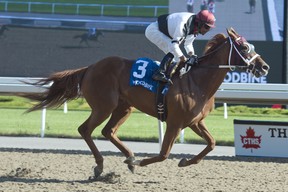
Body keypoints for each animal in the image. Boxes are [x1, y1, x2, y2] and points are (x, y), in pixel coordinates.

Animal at [20, 27, 270, 178]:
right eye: (245, 48)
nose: (264, 67)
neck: (198, 81)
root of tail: (90, 68)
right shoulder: (175, 122)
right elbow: (164, 153)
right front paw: (141, 163)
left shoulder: (194, 122)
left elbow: (212, 143)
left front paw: (185, 162)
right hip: (104, 106)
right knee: (85, 129)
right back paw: (101, 165)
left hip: (124, 107)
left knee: (108, 131)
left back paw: (129, 157)